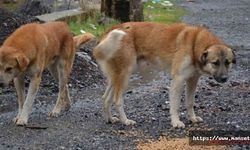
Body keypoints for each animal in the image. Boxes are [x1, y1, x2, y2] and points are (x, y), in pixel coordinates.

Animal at [93, 22, 235, 127]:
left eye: (227, 62)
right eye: (215, 63)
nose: (224, 79)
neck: (194, 43)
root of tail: (110, 30)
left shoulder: (192, 80)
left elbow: (190, 102)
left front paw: (192, 118)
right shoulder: (178, 80)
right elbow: (175, 105)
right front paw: (176, 122)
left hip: (118, 77)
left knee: (106, 98)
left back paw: (110, 119)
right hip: (125, 76)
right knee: (117, 100)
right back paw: (125, 121)